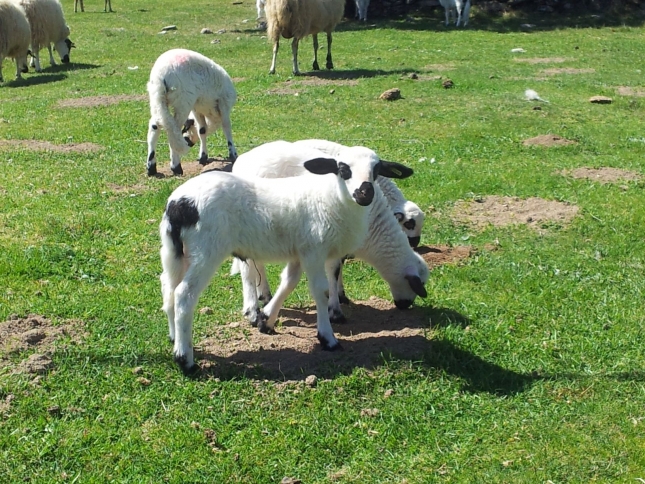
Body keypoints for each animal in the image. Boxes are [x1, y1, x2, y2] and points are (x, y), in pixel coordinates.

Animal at [145, 48, 238, 177]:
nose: (188, 142)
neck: (212, 117)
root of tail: (161, 74)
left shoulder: (196, 108)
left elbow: (202, 130)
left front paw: (203, 156)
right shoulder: (224, 103)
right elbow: (227, 127)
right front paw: (233, 154)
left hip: (157, 98)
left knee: (155, 126)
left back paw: (151, 167)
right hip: (183, 100)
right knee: (173, 130)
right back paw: (176, 167)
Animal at [158, 142, 410, 372]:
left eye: (377, 170)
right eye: (343, 168)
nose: (365, 193)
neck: (331, 198)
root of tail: (179, 204)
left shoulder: (300, 251)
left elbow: (289, 282)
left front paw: (266, 321)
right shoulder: (315, 251)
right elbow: (321, 291)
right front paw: (327, 338)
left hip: (175, 252)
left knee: (168, 288)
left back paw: (174, 338)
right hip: (206, 251)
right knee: (184, 294)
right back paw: (185, 360)